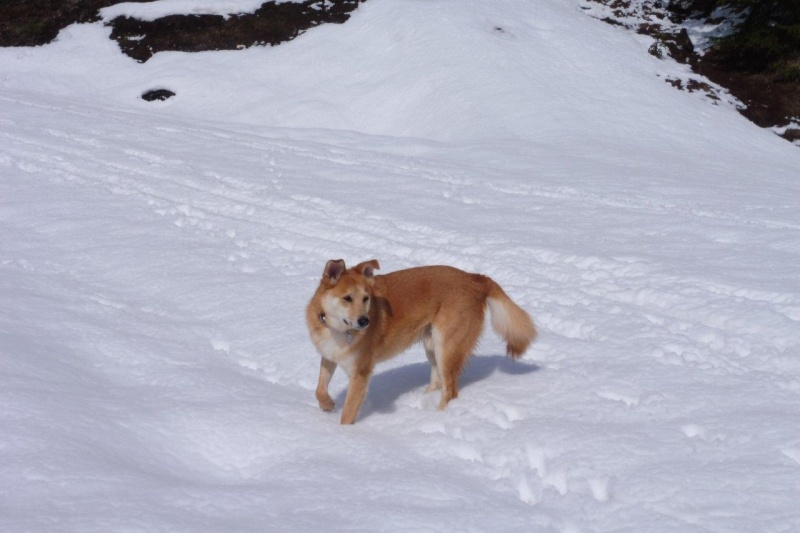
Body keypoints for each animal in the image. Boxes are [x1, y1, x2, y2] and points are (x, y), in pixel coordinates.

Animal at [306, 258, 536, 424]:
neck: (336, 329)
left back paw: (437, 418)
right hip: (431, 345)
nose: (365, 321)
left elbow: (347, 413)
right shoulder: (329, 356)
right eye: (347, 298)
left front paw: (344, 434)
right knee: (437, 382)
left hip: (446, 347)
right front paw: (327, 404)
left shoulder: (360, 373)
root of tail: (476, 278)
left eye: (366, 298)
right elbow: (319, 389)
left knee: (450, 391)